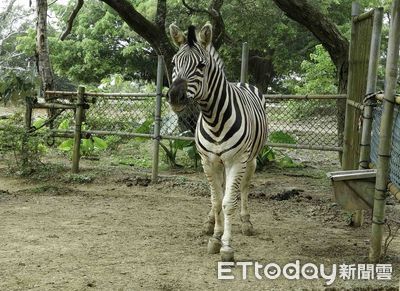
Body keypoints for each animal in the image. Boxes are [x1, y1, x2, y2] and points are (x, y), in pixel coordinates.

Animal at [167, 22, 268, 262]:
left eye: (201, 65)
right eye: (174, 62)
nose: (175, 96)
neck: (214, 119)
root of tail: (242, 81)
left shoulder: (236, 161)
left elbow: (228, 202)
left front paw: (227, 247)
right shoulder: (208, 161)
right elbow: (216, 199)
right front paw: (214, 237)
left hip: (251, 159)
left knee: (244, 187)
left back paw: (246, 222)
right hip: (220, 163)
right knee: (219, 192)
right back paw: (210, 222)